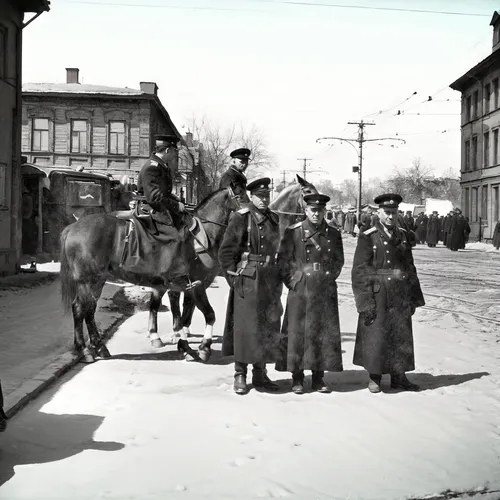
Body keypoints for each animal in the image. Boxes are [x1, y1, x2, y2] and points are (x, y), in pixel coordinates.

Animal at [60, 186, 244, 362]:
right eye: (242, 195)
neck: (204, 235)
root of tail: (72, 227)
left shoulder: (185, 286)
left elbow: (182, 315)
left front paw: (184, 345)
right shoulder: (196, 285)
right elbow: (207, 314)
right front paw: (203, 347)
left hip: (98, 280)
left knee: (89, 309)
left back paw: (100, 348)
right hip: (87, 281)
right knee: (80, 309)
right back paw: (84, 350)